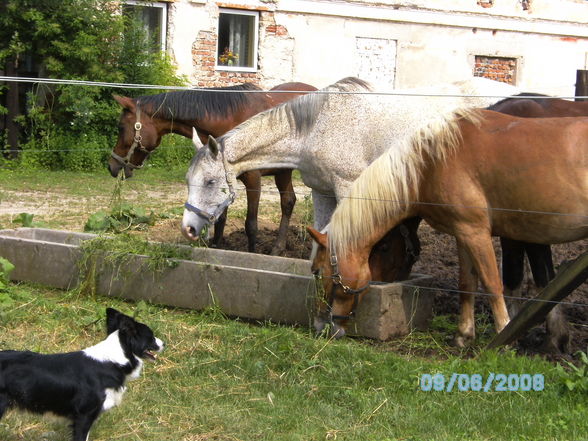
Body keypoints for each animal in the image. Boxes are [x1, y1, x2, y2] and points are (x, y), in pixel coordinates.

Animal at [107, 81, 314, 254]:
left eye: (121, 127)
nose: (112, 166)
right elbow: (220, 220)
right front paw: (217, 248)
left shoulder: (253, 180)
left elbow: (251, 225)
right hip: (283, 172)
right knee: (289, 201)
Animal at [181, 78, 516, 246]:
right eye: (188, 181)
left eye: (210, 181)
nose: (188, 229)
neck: (316, 128)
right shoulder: (322, 193)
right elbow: (320, 238)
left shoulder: (347, 189)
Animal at [310, 109, 584, 344]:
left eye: (320, 273)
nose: (321, 326)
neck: (432, 162)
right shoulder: (464, 234)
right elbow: (467, 284)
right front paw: (464, 335)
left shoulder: (476, 233)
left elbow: (492, 283)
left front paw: (503, 334)